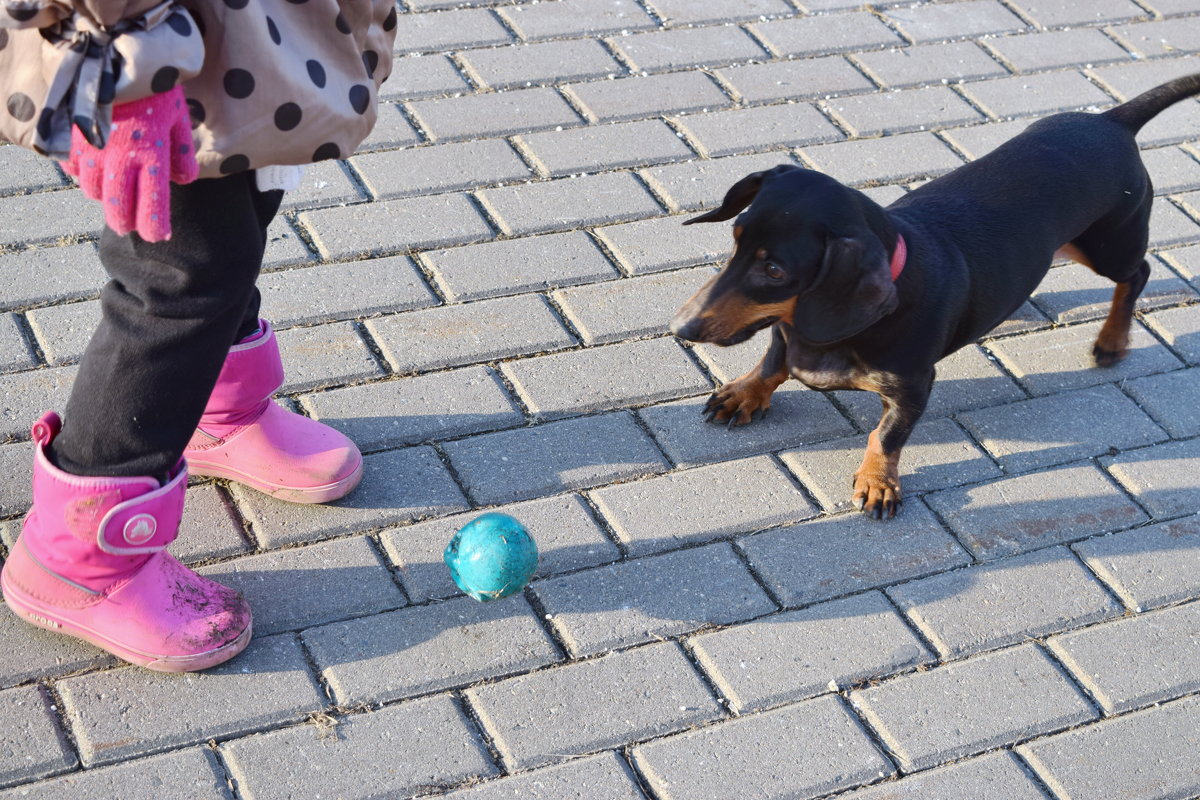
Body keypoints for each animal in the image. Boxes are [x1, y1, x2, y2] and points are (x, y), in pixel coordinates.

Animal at [676, 73, 1200, 520]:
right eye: (735, 239)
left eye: (774, 270)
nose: (680, 328)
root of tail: (1111, 120)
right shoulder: (785, 333)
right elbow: (772, 362)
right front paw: (744, 393)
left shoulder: (913, 386)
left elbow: (886, 436)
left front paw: (878, 481)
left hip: (1107, 243)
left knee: (1138, 273)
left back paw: (1112, 341)